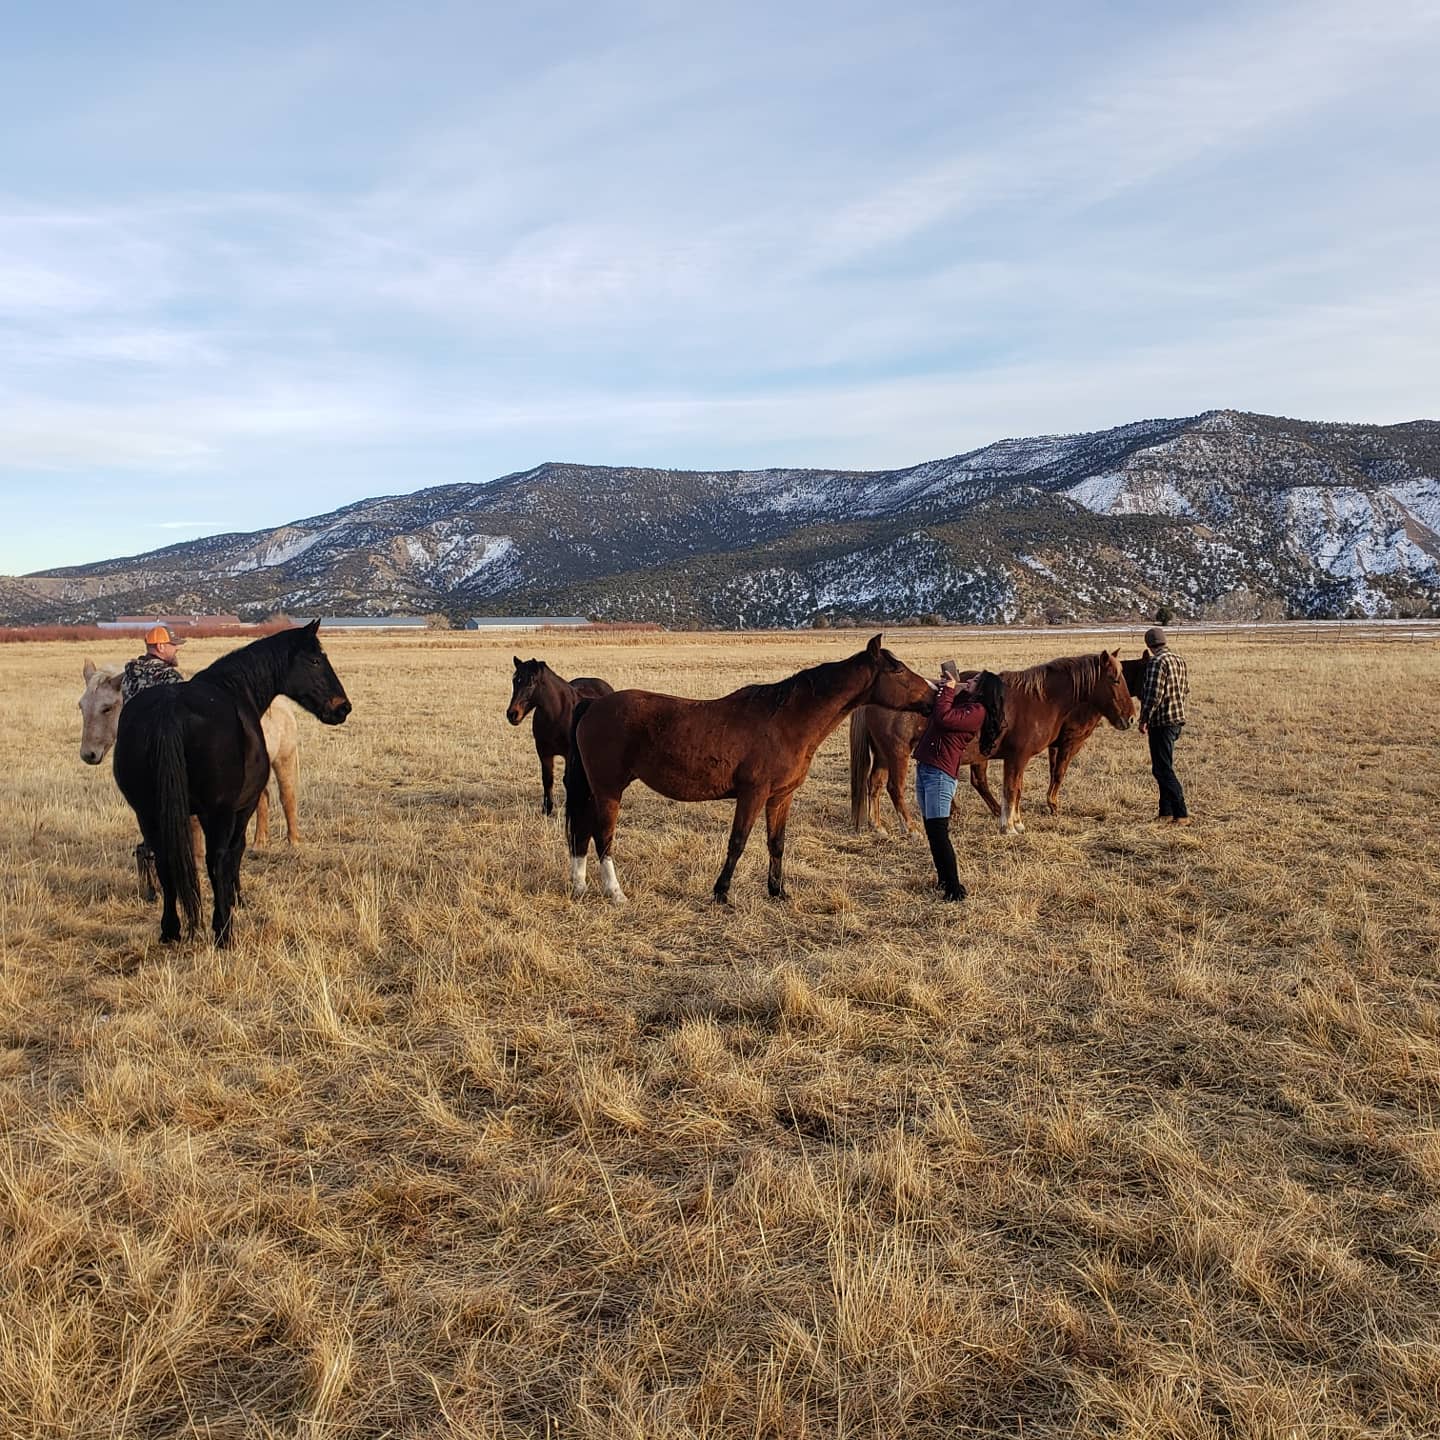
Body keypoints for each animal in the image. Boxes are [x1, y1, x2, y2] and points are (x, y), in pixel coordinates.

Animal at [80, 662, 304, 853]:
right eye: (82, 706)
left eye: (107, 708)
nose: (88, 754)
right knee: (263, 799)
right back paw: (259, 843)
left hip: (284, 760)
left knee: (287, 797)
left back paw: (293, 842)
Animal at [112, 621, 351, 947]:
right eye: (315, 660)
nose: (343, 708)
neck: (236, 691)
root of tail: (169, 710)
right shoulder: (240, 808)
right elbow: (234, 854)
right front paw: (235, 900)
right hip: (217, 812)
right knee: (216, 860)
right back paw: (223, 932)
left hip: (148, 814)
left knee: (163, 860)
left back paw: (171, 929)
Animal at [506, 658, 614, 815]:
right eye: (515, 681)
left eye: (530, 683)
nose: (512, 714)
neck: (556, 715)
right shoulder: (543, 752)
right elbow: (547, 779)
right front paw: (547, 809)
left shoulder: (568, 753)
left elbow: (567, 780)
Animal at [564, 634, 934, 905]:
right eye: (897, 669)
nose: (934, 694)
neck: (786, 721)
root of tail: (592, 704)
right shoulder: (752, 794)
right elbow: (738, 841)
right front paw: (721, 893)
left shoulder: (780, 797)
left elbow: (777, 843)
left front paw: (778, 891)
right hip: (609, 790)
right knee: (603, 836)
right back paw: (615, 893)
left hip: (595, 790)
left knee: (582, 830)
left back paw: (580, 886)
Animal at [850, 654, 1144, 835]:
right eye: (1115, 679)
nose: (1130, 717)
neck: (1039, 698)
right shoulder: (1018, 757)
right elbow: (1011, 790)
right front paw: (1009, 826)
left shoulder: (1020, 759)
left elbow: (1018, 789)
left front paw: (1018, 823)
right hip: (897, 754)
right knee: (894, 789)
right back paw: (910, 829)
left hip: (883, 756)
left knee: (874, 784)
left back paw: (878, 826)